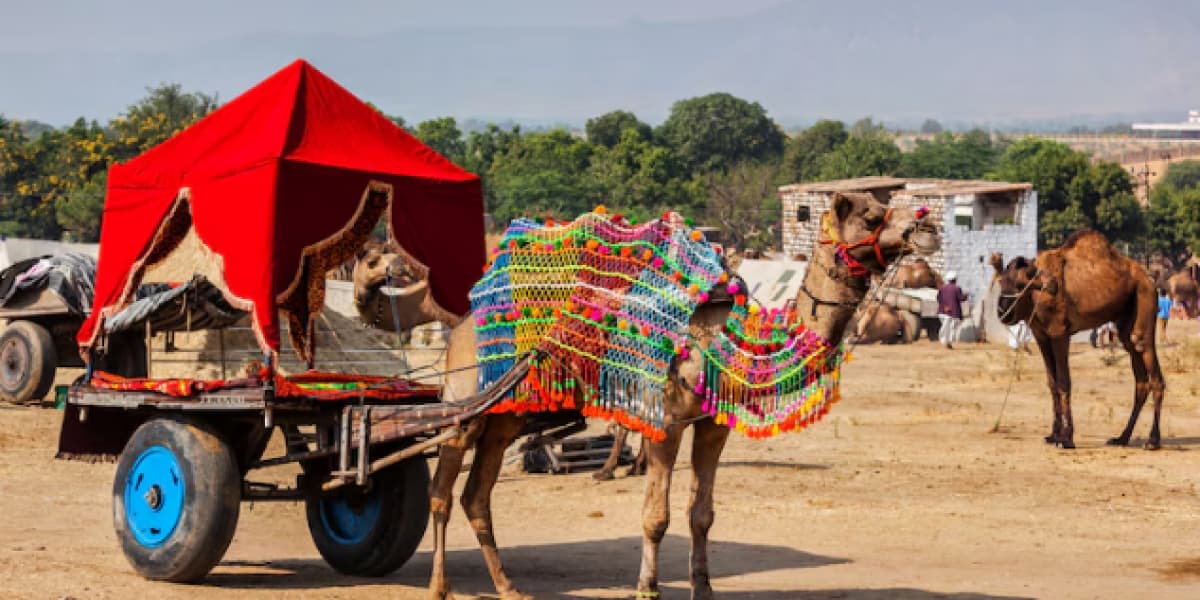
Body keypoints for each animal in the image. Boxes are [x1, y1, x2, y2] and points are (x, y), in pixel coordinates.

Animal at [427, 192, 940, 599]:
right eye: (871, 216)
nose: (929, 228)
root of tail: (462, 321)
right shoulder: (667, 420)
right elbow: (656, 516)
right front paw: (647, 588)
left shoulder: (712, 424)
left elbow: (702, 515)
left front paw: (703, 588)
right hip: (467, 401)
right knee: (442, 490)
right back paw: (440, 587)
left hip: (508, 413)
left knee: (477, 495)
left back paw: (508, 587)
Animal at [991, 230, 1165, 450]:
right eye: (1001, 283)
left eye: (1021, 285)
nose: (1002, 312)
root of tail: (1148, 278)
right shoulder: (1042, 336)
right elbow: (1052, 383)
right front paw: (1053, 435)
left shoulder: (1059, 333)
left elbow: (1064, 382)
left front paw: (1066, 439)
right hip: (1127, 320)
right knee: (1140, 380)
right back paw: (1121, 438)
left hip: (1144, 297)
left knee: (1153, 371)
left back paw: (1152, 440)